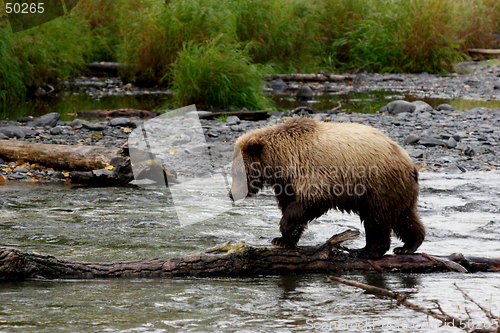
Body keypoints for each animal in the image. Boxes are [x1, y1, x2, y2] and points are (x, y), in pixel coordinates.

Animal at [229, 115, 424, 258]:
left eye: (237, 173)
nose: (231, 194)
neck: (282, 162)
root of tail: (409, 162)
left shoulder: (311, 170)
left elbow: (312, 200)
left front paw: (284, 229)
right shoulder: (287, 182)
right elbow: (292, 205)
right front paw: (283, 239)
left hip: (379, 184)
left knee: (377, 217)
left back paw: (366, 251)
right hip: (398, 188)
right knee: (404, 216)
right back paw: (409, 245)